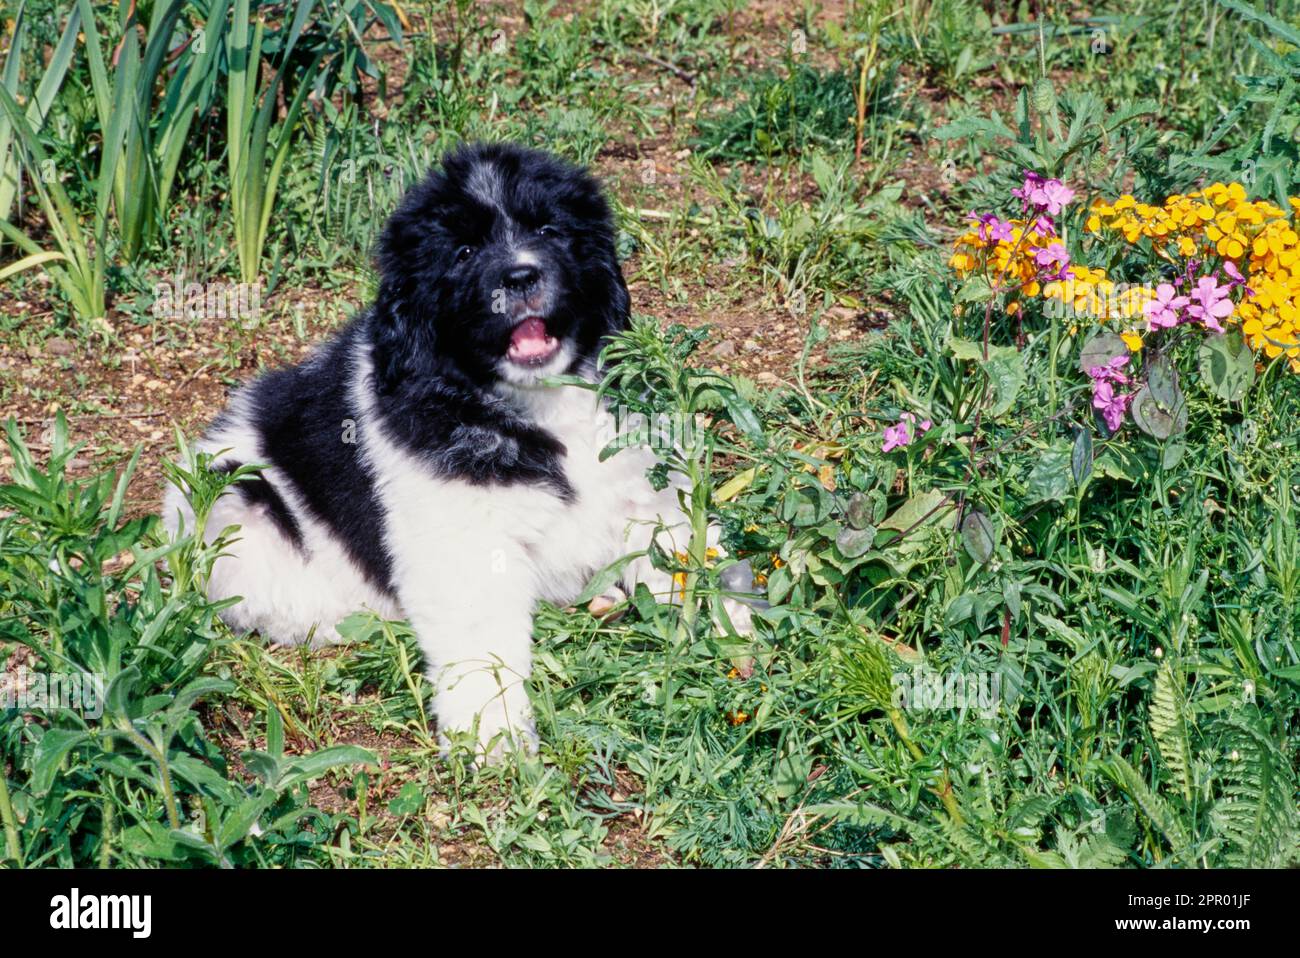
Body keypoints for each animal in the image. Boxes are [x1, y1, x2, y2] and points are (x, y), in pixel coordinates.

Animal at [163, 141, 754, 753]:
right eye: (465, 252)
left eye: (549, 230)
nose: (520, 274)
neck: (530, 403)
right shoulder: (461, 538)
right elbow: (482, 646)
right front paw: (495, 738)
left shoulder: (638, 477)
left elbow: (686, 549)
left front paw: (731, 623)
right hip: (235, 495)